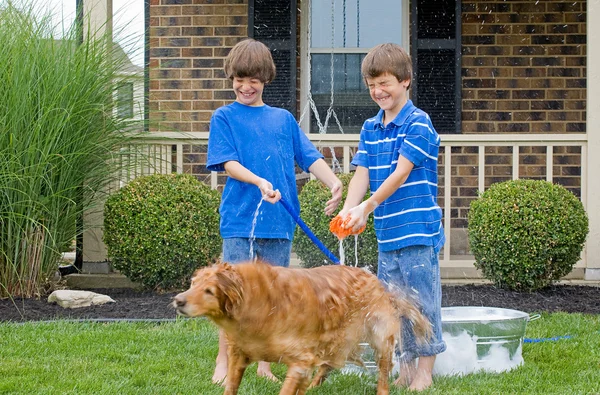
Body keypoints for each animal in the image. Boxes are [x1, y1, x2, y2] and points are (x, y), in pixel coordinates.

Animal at [173, 262, 432, 395]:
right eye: (193, 284)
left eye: (209, 291)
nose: (178, 300)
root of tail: (379, 284)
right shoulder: (238, 355)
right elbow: (230, 386)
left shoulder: (300, 361)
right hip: (335, 342)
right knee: (326, 366)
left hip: (379, 339)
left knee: (383, 372)